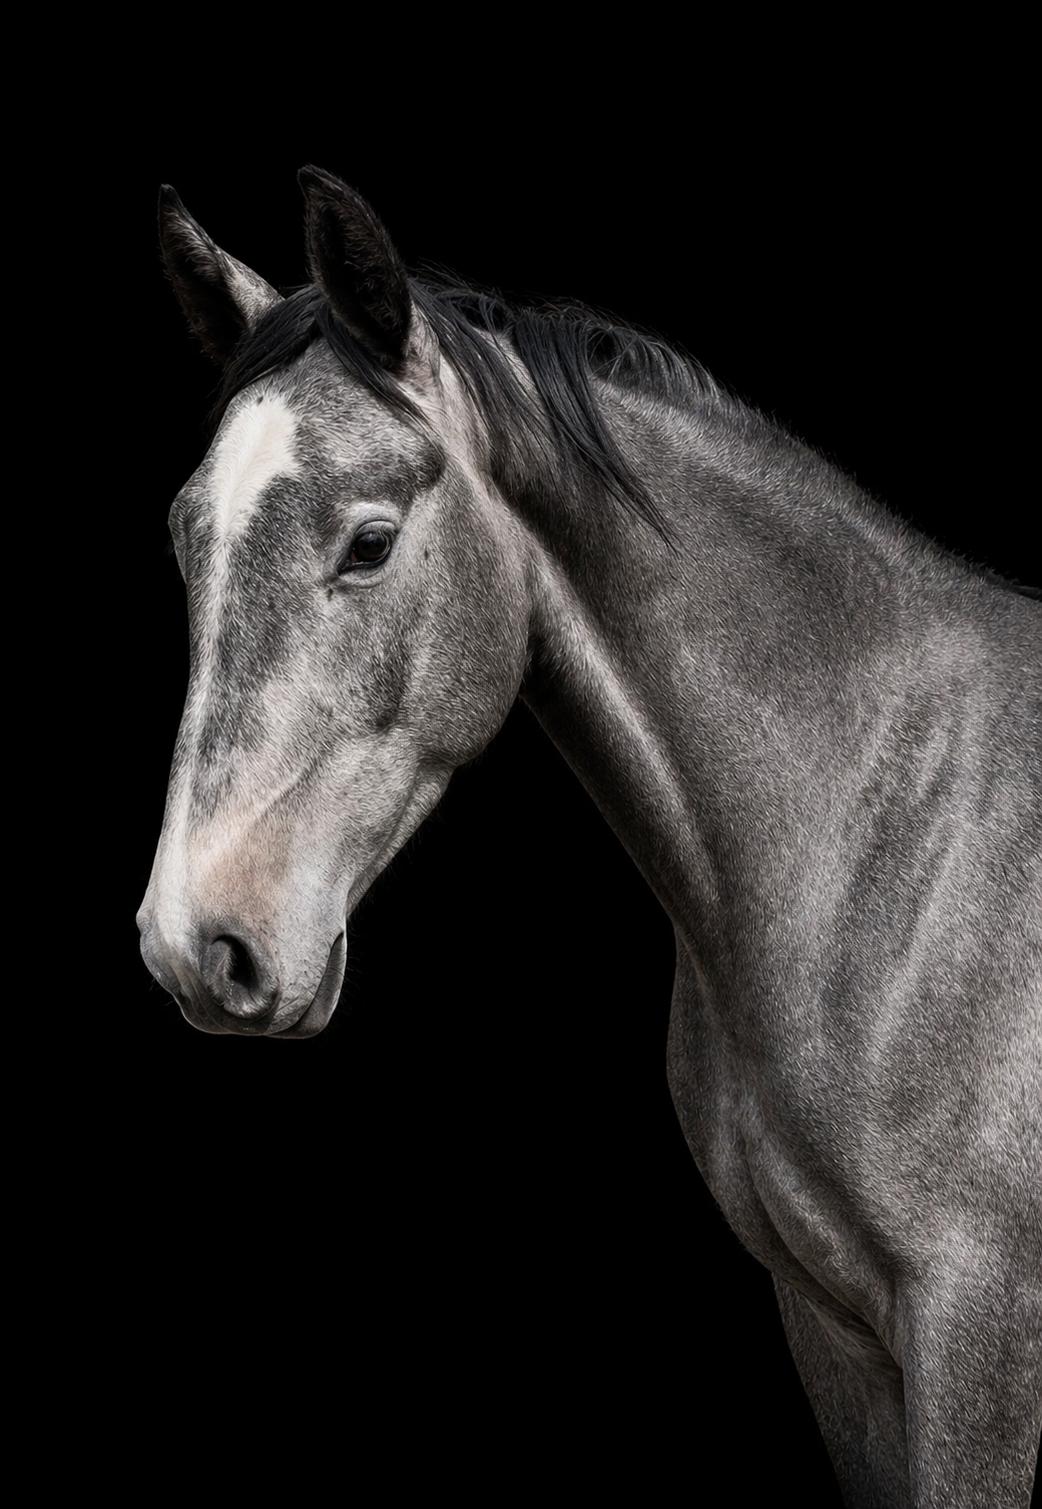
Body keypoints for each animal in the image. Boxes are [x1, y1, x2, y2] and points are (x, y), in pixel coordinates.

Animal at [136, 164, 1041, 1507]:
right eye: (186, 535)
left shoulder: (981, 1336)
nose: (196, 942)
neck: (893, 852)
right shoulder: (838, 1340)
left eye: (368, 541)